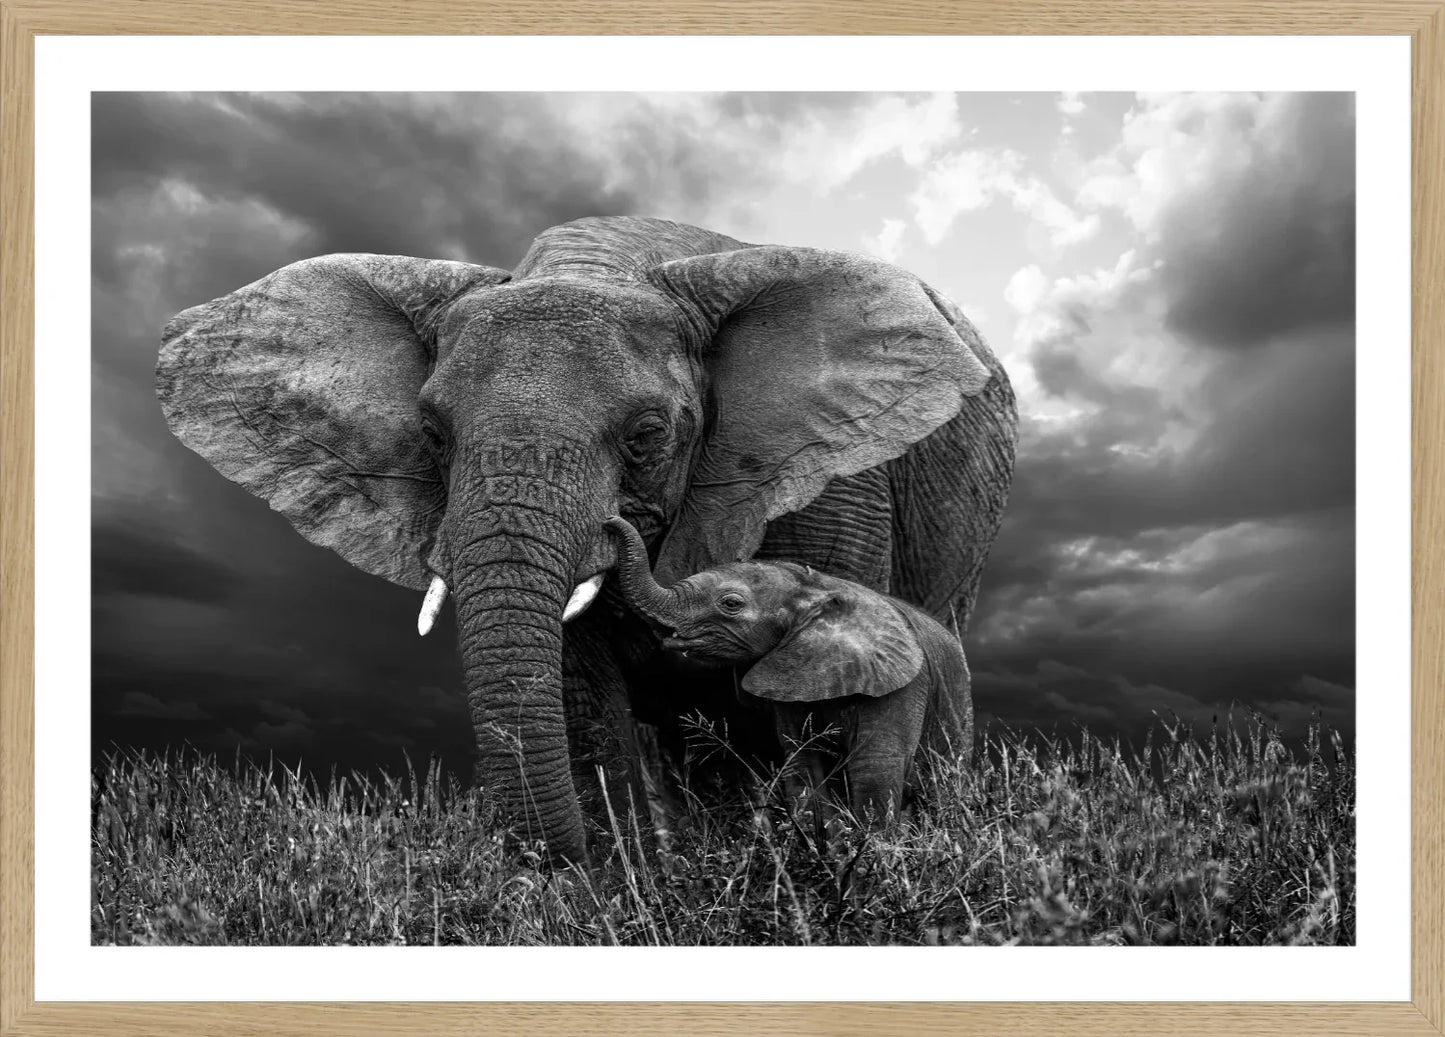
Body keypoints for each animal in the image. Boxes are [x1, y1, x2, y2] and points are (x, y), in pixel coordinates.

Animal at [606, 516, 972, 827]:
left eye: (731, 604)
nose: (610, 521)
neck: (815, 588)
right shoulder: (790, 682)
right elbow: (804, 768)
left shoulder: (901, 688)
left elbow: (875, 770)